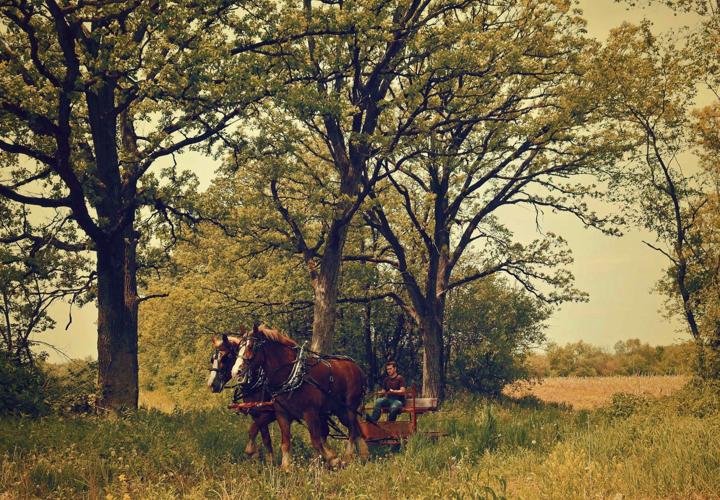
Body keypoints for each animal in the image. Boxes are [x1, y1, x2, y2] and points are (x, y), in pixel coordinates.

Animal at [232, 324, 370, 470]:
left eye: (251, 346)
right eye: (239, 347)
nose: (236, 371)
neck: (291, 375)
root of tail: (357, 368)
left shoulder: (310, 413)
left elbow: (316, 441)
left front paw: (323, 463)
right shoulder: (282, 414)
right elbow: (285, 441)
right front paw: (286, 467)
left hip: (349, 406)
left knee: (352, 431)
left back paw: (347, 457)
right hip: (340, 410)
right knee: (356, 428)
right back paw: (363, 455)